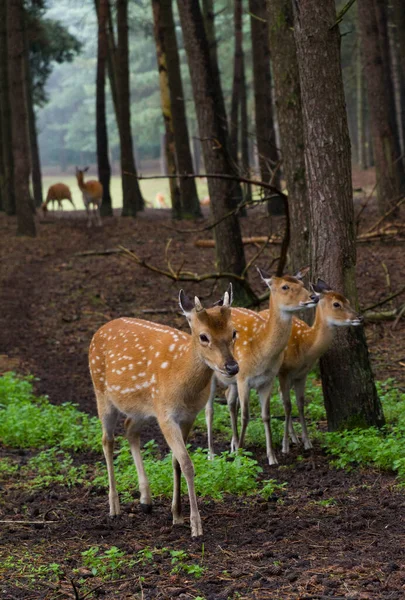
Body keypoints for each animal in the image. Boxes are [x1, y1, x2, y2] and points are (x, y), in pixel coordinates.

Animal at [88, 286, 237, 540]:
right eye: (204, 336)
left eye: (234, 332)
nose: (232, 367)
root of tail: (99, 330)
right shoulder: (166, 415)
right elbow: (187, 464)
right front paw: (196, 526)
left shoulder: (188, 416)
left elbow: (176, 462)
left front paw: (176, 515)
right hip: (102, 392)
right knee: (107, 440)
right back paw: (114, 507)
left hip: (142, 409)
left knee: (129, 429)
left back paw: (145, 500)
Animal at [204, 270, 318, 466]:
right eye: (285, 286)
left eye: (302, 283)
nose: (313, 296)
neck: (260, 352)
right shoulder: (243, 378)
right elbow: (246, 416)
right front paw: (240, 456)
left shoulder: (267, 380)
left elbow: (266, 415)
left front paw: (272, 456)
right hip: (210, 373)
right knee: (209, 409)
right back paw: (212, 454)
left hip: (232, 381)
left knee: (229, 399)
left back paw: (233, 445)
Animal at [266, 278, 362, 452]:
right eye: (336, 304)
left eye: (348, 300)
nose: (359, 317)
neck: (305, 346)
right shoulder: (284, 372)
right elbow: (288, 405)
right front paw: (285, 446)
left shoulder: (302, 374)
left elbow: (300, 404)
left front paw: (307, 442)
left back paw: (294, 438)